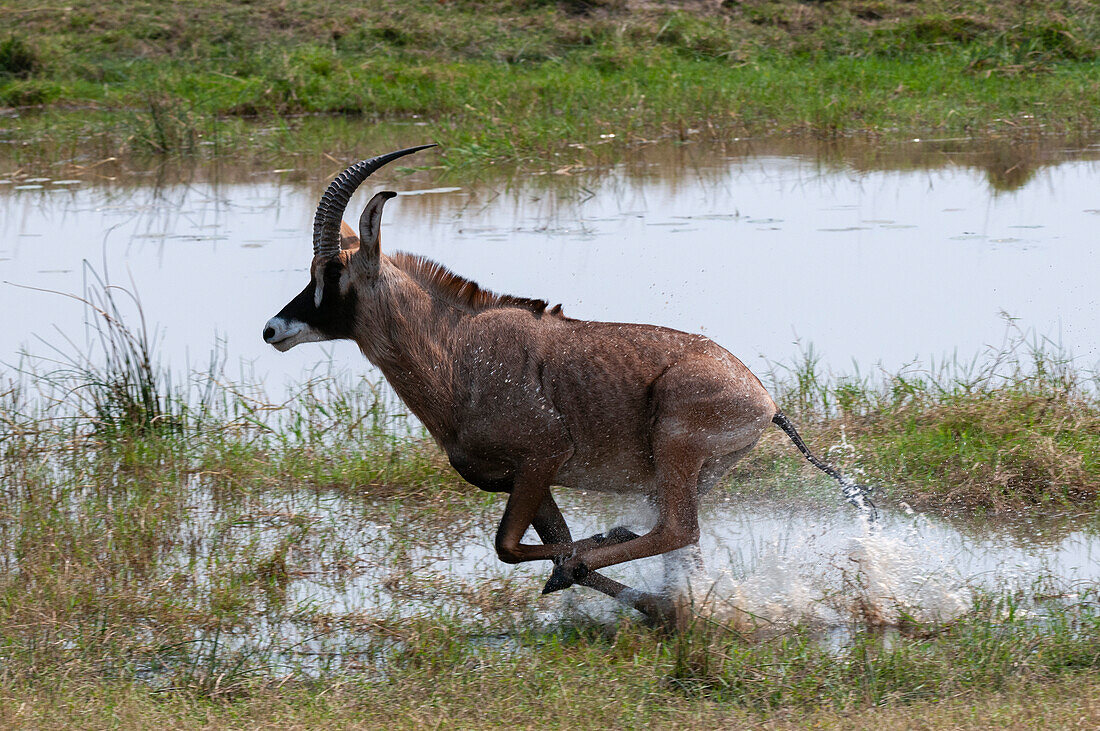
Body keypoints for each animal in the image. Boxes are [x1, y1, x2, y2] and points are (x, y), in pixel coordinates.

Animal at [261, 145, 871, 624]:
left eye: (332, 272)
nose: (273, 329)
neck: (457, 350)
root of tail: (765, 401)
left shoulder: (541, 458)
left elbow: (513, 548)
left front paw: (603, 562)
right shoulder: (528, 480)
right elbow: (548, 546)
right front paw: (648, 603)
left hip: (675, 451)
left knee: (677, 531)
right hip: (690, 474)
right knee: (679, 543)